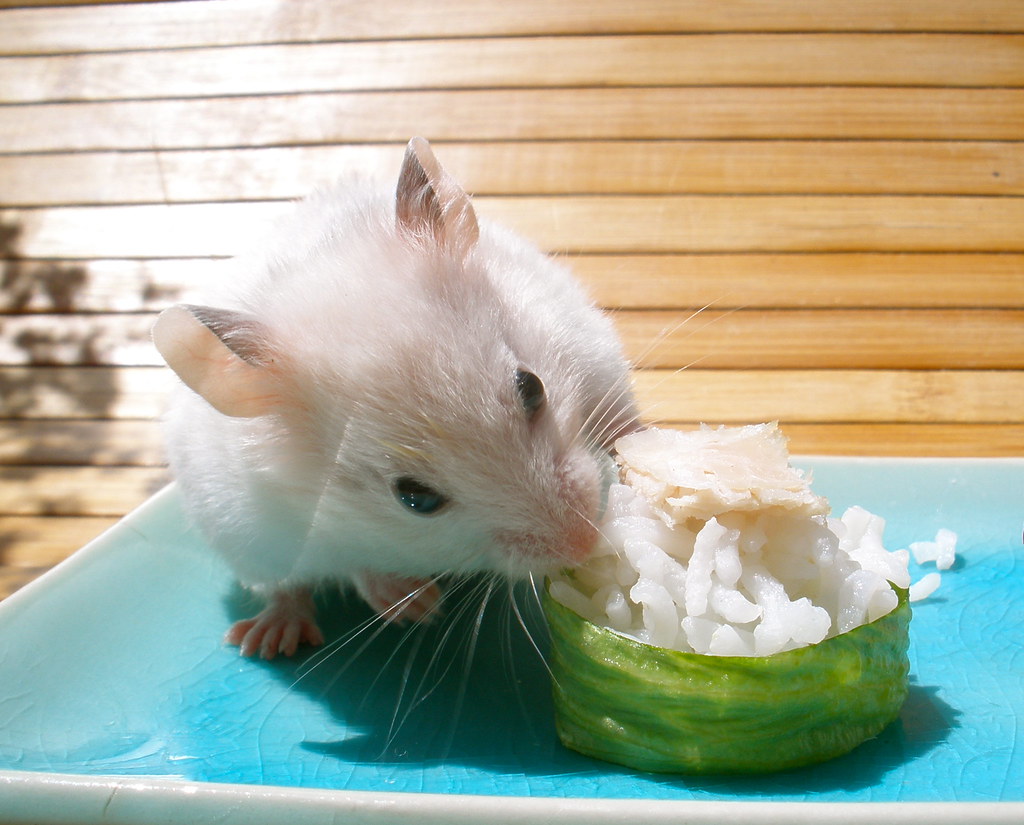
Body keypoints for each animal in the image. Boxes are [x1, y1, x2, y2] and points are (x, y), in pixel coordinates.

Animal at [152, 138, 639, 659]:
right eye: (414, 498)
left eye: (532, 387)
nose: (585, 541)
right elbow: (354, 565)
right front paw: (418, 606)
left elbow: (625, 423)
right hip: (246, 545)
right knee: (287, 591)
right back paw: (266, 640)